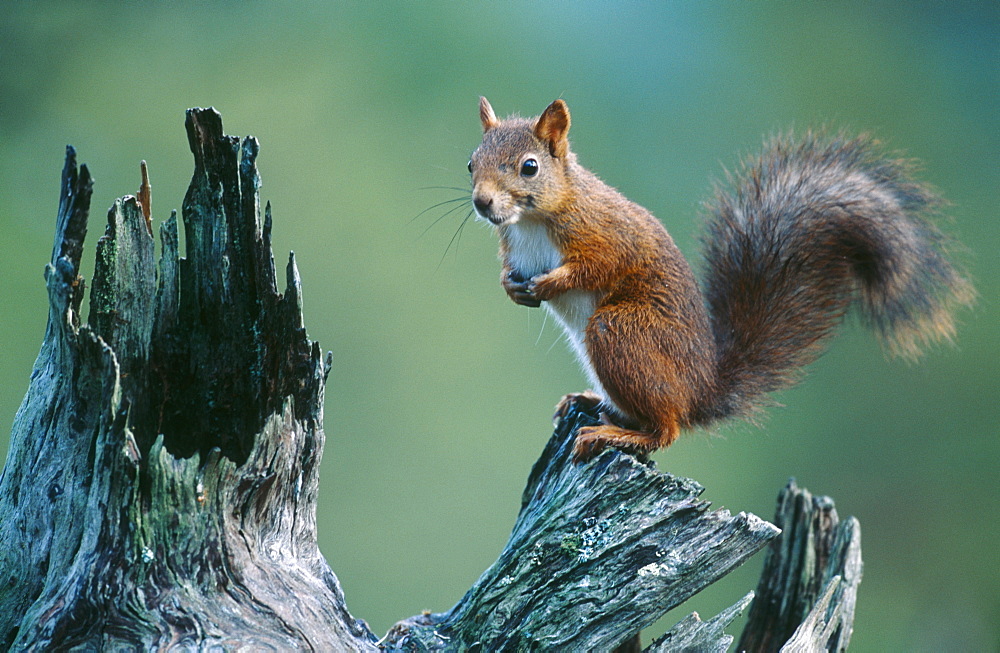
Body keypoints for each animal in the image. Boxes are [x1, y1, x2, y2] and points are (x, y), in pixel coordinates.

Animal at [470, 98, 976, 464]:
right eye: (472, 162)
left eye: (529, 166)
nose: (481, 203)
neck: (531, 220)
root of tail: (702, 392)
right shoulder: (513, 248)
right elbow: (510, 274)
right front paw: (513, 288)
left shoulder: (606, 236)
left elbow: (600, 267)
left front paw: (547, 285)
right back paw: (592, 400)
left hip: (622, 331)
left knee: (667, 430)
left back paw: (614, 433)